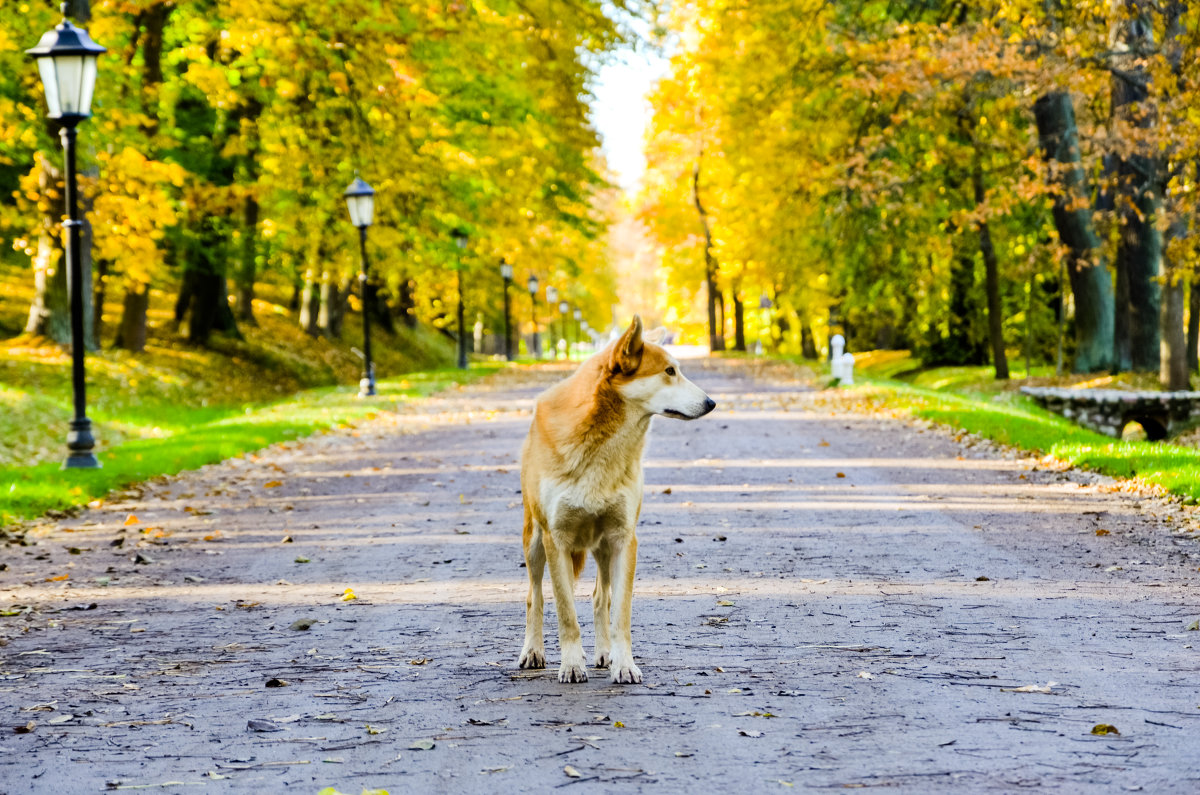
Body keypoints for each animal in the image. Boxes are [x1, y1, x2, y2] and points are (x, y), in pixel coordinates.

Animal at [516, 317, 710, 686]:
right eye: (669, 371)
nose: (711, 403)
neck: (602, 448)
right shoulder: (556, 539)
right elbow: (565, 613)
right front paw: (571, 664)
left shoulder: (623, 539)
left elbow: (619, 612)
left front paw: (624, 664)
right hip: (535, 543)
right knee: (536, 596)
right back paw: (533, 652)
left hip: (604, 547)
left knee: (600, 597)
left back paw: (604, 654)